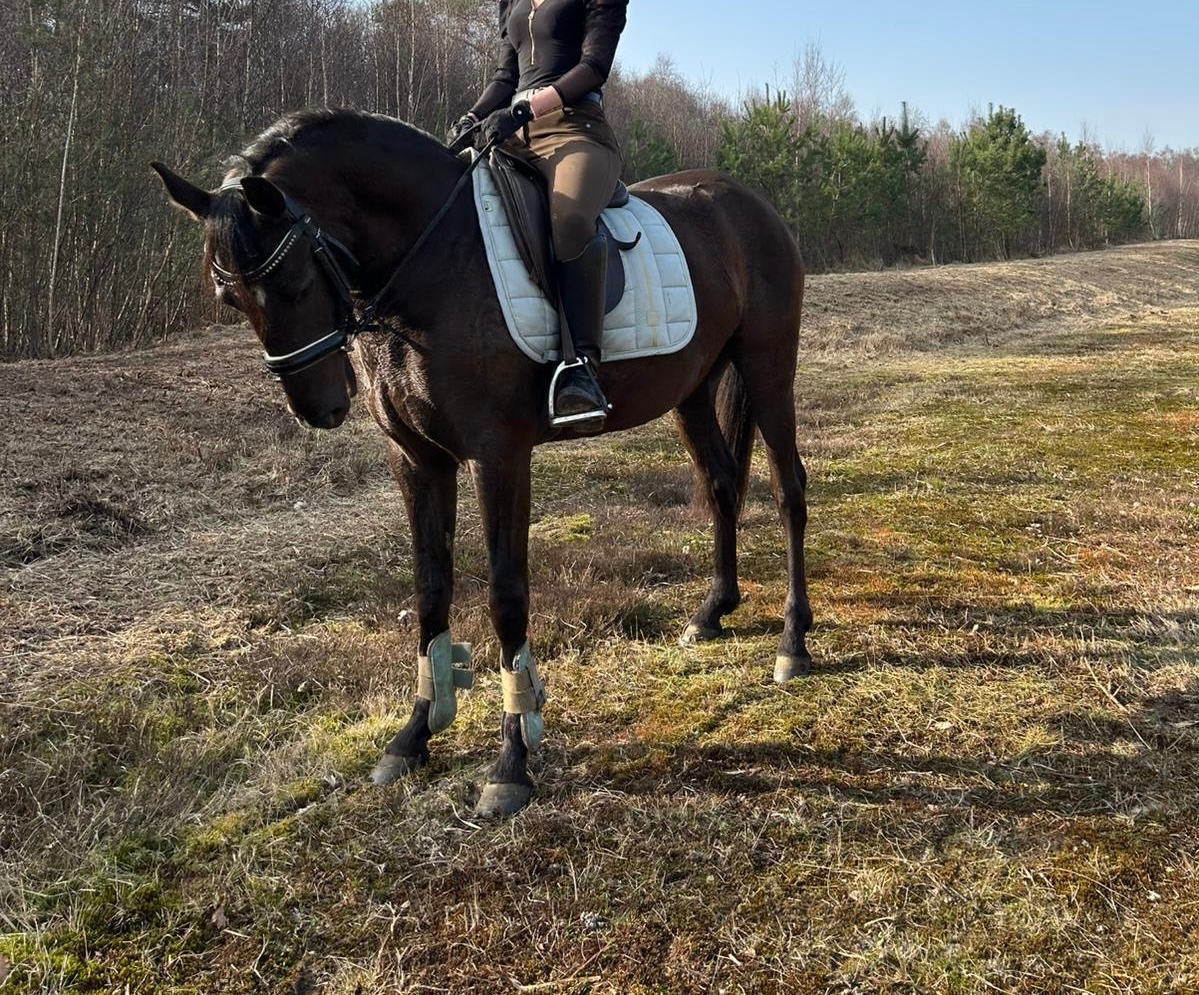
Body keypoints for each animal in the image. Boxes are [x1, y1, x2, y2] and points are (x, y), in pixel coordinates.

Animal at [152, 108, 812, 817]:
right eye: (231, 301)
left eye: (295, 282)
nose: (319, 408)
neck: (430, 266)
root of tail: (747, 200)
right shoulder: (417, 460)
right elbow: (430, 590)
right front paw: (413, 737)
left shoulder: (499, 458)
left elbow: (506, 596)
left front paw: (512, 761)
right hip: (691, 388)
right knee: (721, 484)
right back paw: (713, 611)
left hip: (768, 369)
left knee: (788, 491)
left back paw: (793, 644)